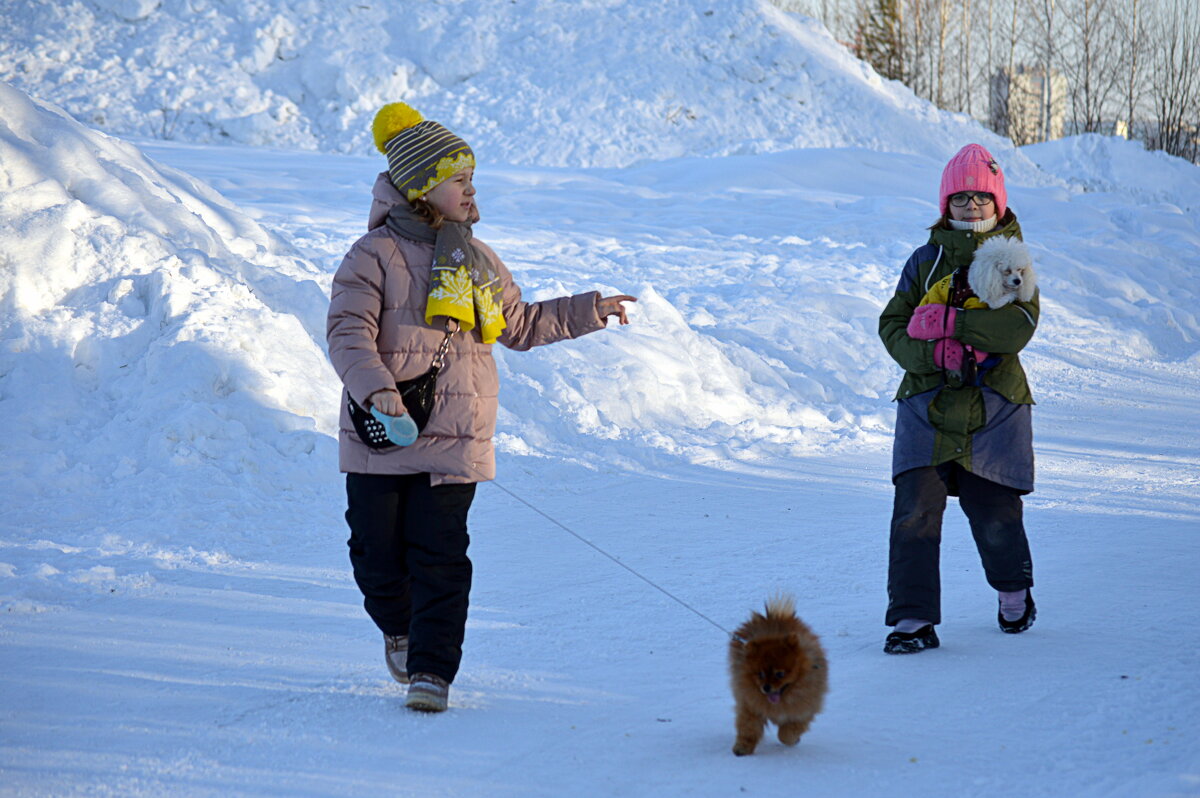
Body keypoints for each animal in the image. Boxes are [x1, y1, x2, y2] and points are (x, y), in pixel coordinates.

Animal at [729, 595, 825, 758]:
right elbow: (748, 728)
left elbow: (787, 733)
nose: (766, 688)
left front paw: (791, 739)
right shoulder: (750, 705)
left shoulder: (802, 710)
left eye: (780, 674)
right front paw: (743, 747)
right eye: (760, 674)